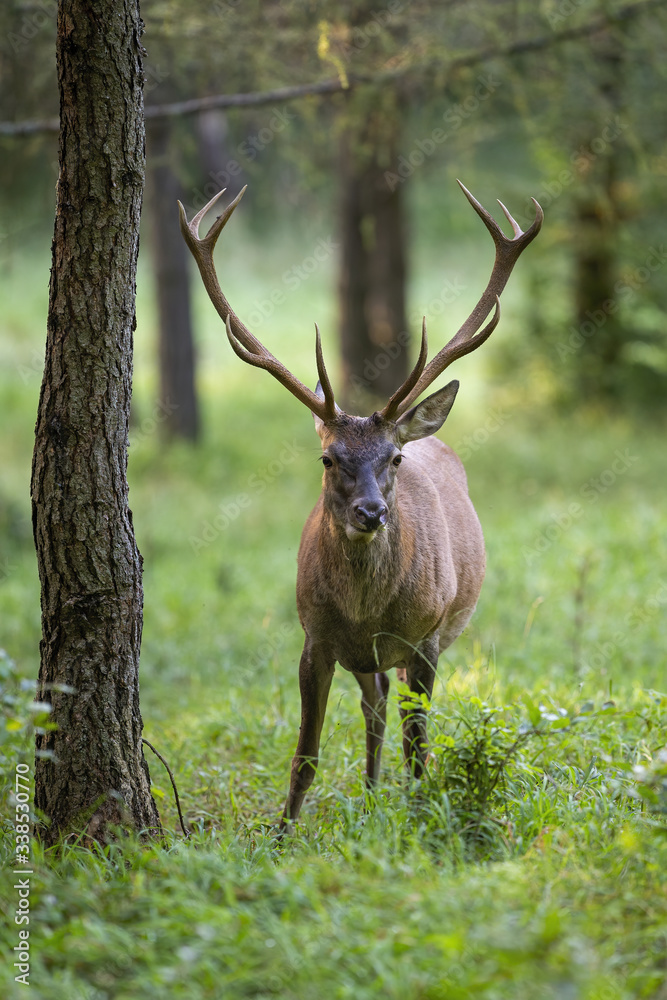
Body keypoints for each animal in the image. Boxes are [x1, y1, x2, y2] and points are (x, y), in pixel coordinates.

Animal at [179, 181, 543, 831]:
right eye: (328, 459)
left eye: (394, 458)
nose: (371, 514)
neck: (365, 611)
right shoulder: (314, 638)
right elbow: (305, 753)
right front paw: (283, 832)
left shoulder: (424, 637)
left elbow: (418, 746)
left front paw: (420, 817)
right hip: (366, 657)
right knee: (374, 706)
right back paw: (371, 794)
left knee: (391, 712)